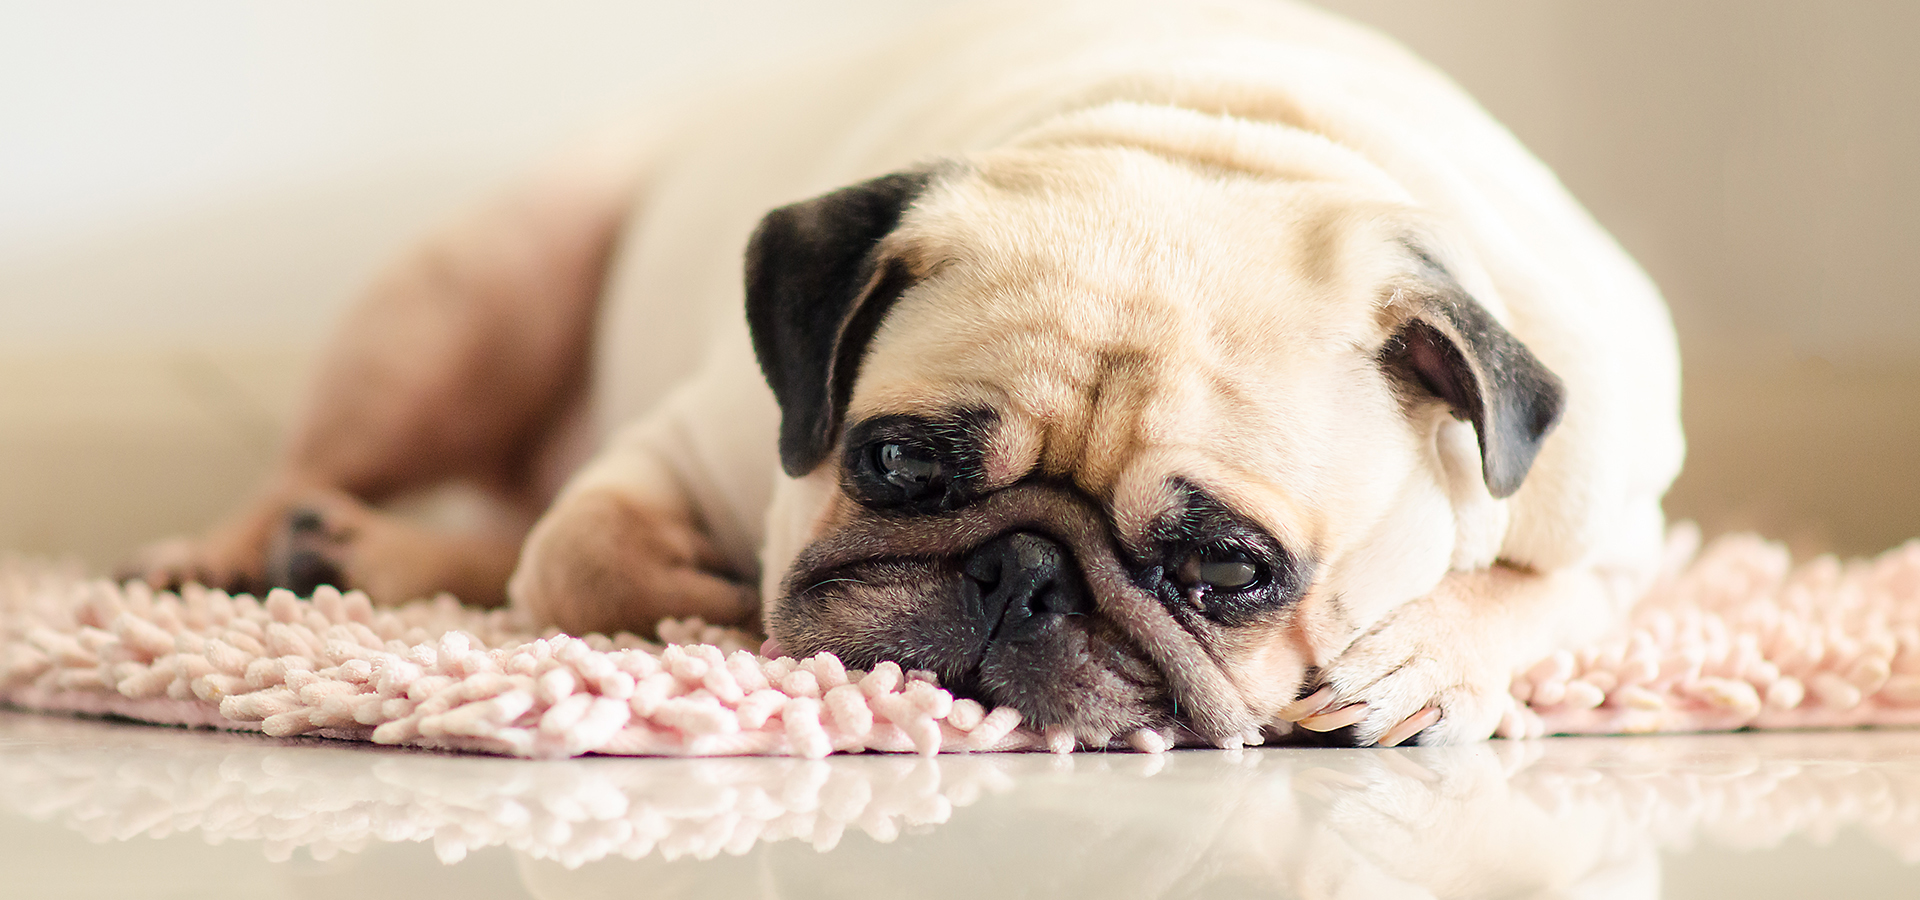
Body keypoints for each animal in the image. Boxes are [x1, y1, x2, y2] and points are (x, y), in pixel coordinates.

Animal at [131, 0, 1681, 748]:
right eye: (892, 462)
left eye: (1226, 573)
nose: (1022, 571)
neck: (1222, 140)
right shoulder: (694, 440)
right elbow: (579, 554)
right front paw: (704, 598)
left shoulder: (1623, 529)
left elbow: (1539, 599)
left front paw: (1424, 660)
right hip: (473, 297)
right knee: (382, 477)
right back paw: (248, 551)